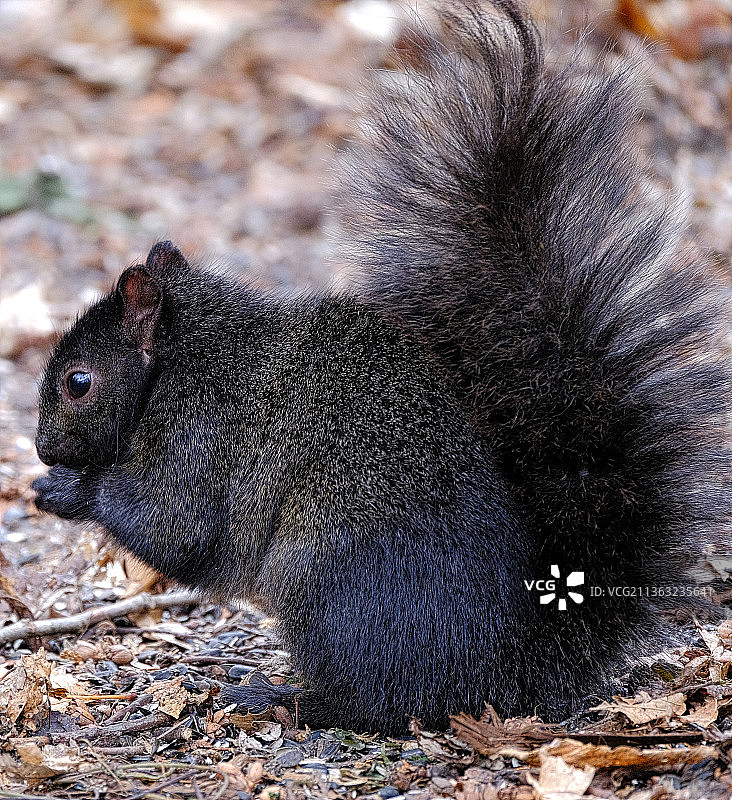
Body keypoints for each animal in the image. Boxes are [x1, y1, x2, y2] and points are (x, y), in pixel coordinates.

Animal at [31, 0, 728, 736]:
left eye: (79, 382)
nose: (42, 446)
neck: (182, 358)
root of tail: (504, 665)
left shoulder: (203, 435)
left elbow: (177, 526)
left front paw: (67, 489)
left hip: (330, 582)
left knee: (375, 701)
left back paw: (280, 697)